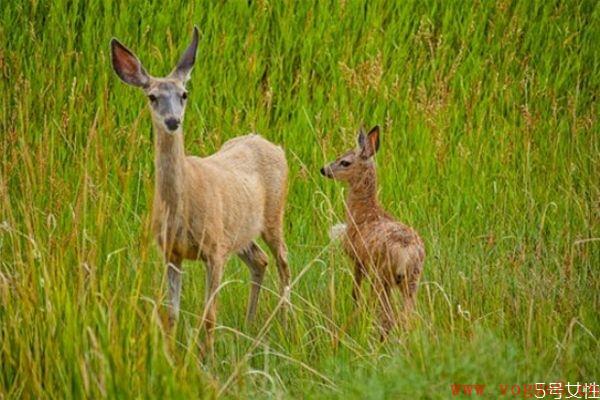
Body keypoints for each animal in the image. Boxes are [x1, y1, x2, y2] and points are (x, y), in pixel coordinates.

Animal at [112, 26, 292, 352]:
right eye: (152, 96)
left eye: (184, 94)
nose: (173, 120)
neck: (181, 206)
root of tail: (274, 145)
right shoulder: (171, 251)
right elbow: (171, 314)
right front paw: (171, 354)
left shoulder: (214, 249)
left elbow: (209, 317)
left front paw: (207, 359)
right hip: (240, 232)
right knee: (260, 260)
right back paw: (249, 324)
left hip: (273, 216)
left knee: (284, 262)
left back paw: (286, 324)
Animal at [322, 125, 424, 338]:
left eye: (345, 162)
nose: (324, 169)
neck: (364, 213)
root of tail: (406, 253)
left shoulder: (357, 258)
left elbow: (355, 291)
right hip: (412, 280)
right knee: (408, 316)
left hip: (382, 276)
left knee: (388, 315)